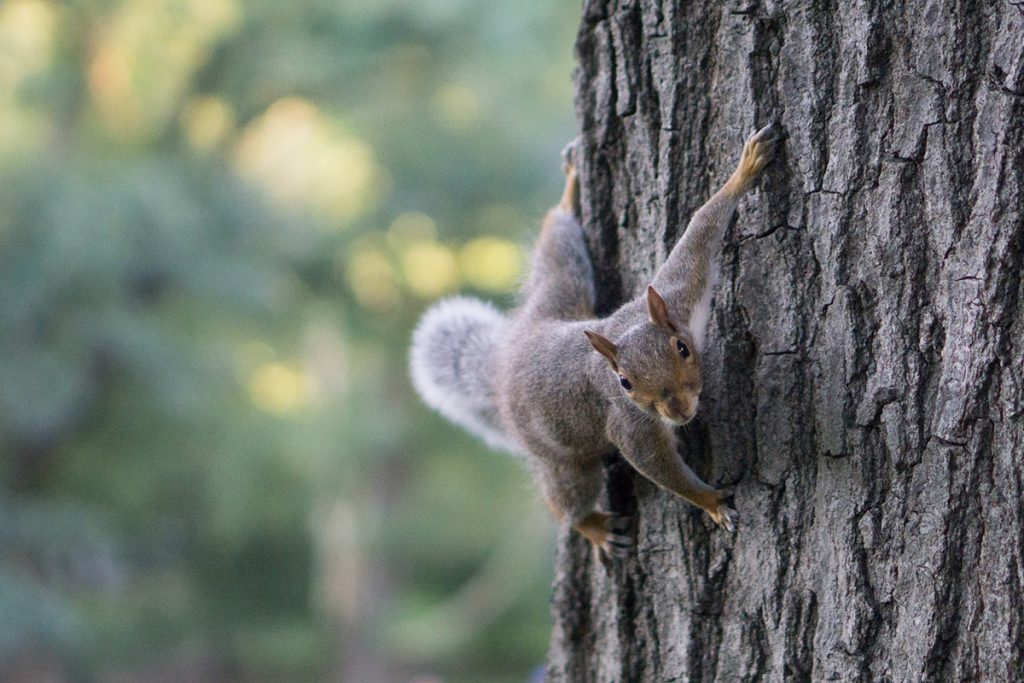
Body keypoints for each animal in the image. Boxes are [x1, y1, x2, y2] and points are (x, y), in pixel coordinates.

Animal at [407, 124, 774, 557]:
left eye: (683, 349)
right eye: (624, 383)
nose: (679, 411)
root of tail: (505, 361)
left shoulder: (678, 294)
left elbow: (701, 230)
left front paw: (744, 170)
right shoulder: (630, 424)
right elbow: (658, 468)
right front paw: (711, 502)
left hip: (559, 289)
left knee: (556, 249)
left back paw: (569, 194)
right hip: (560, 457)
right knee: (565, 500)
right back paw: (593, 527)